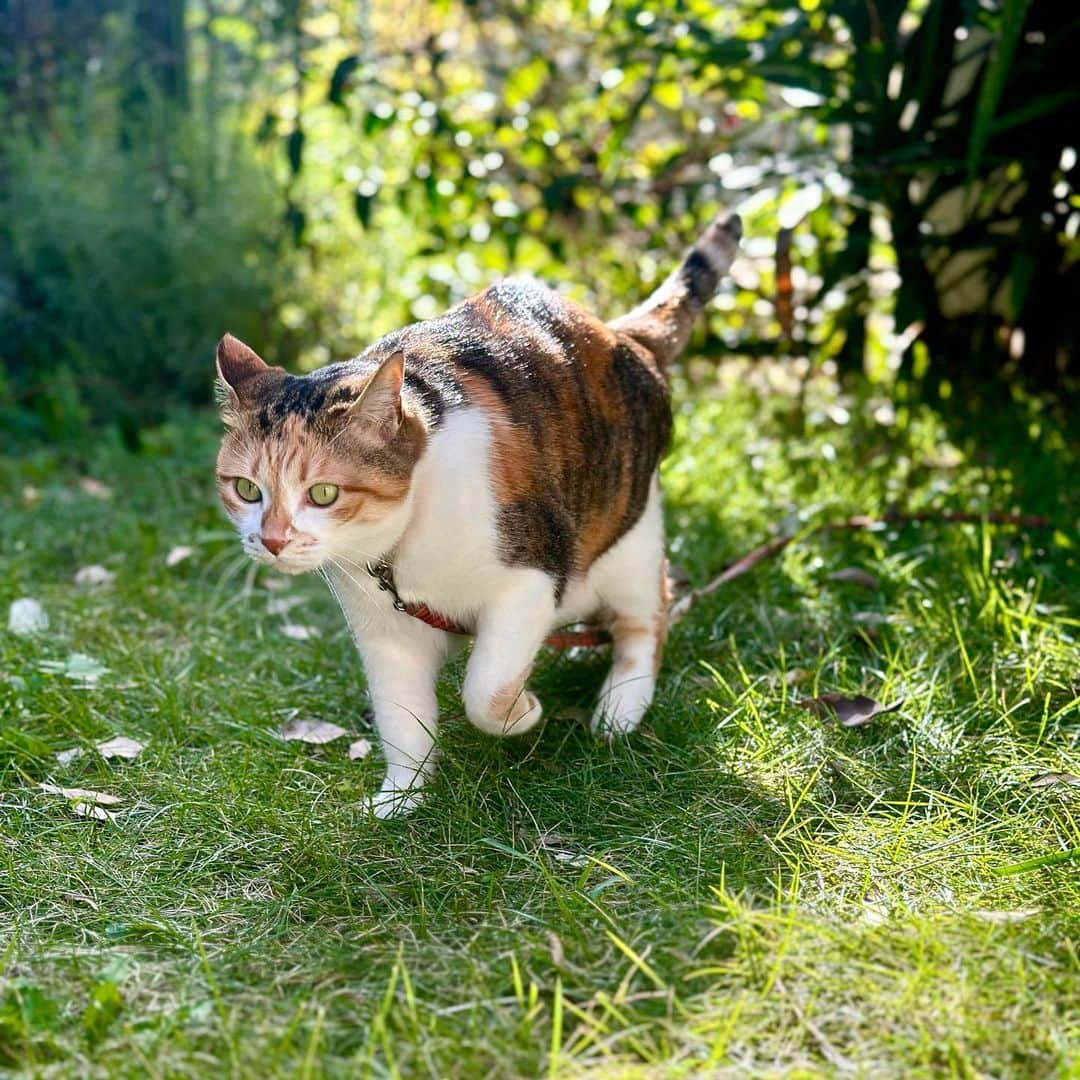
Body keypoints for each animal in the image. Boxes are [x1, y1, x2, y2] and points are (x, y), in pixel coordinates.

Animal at [213, 212, 738, 816]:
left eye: (322, 494)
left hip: (629, 538)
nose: (272, 540)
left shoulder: (532, 576)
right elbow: (401, 716)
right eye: (246, 489)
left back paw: (619, 707)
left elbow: (484, 689)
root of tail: (620, 334)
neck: (401, 550)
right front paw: (403, 797)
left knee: (646, 617)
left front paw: (524, 711)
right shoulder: (382, 630)